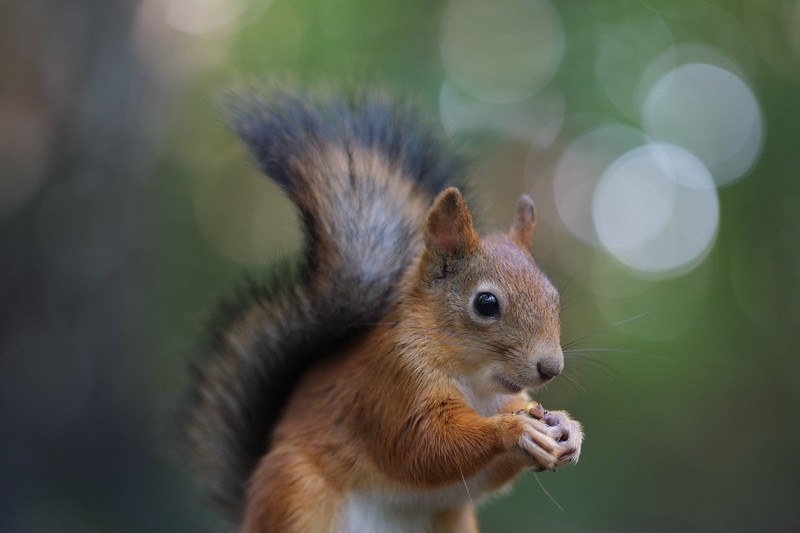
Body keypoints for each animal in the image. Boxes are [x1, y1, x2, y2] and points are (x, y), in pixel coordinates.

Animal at [180, 85, 580, 528]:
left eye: (553, 296)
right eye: (486, 303)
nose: (551, 367)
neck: (477, 383)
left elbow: (484, 476)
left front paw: (568, 428)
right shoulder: (392, 386)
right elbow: (425, 447)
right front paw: (514, 431)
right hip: (295, 491)